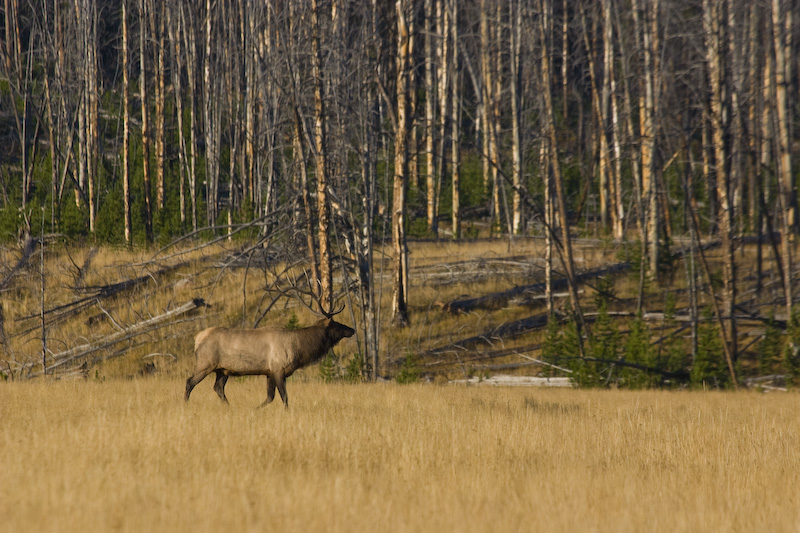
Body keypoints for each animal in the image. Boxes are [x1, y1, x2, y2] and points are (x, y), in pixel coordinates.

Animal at [186, 310, 354, 406]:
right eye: (336, 324)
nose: (352, 329)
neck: (299, 348)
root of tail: (196, 339)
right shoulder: (279, 370)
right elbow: (284, 397)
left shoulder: (269, 372)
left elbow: (270, 397)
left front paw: (255, 409)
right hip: (205, 364)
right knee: (190, 382)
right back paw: (186, 404)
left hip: (222, 370)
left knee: (218, 387)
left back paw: (229, 407)